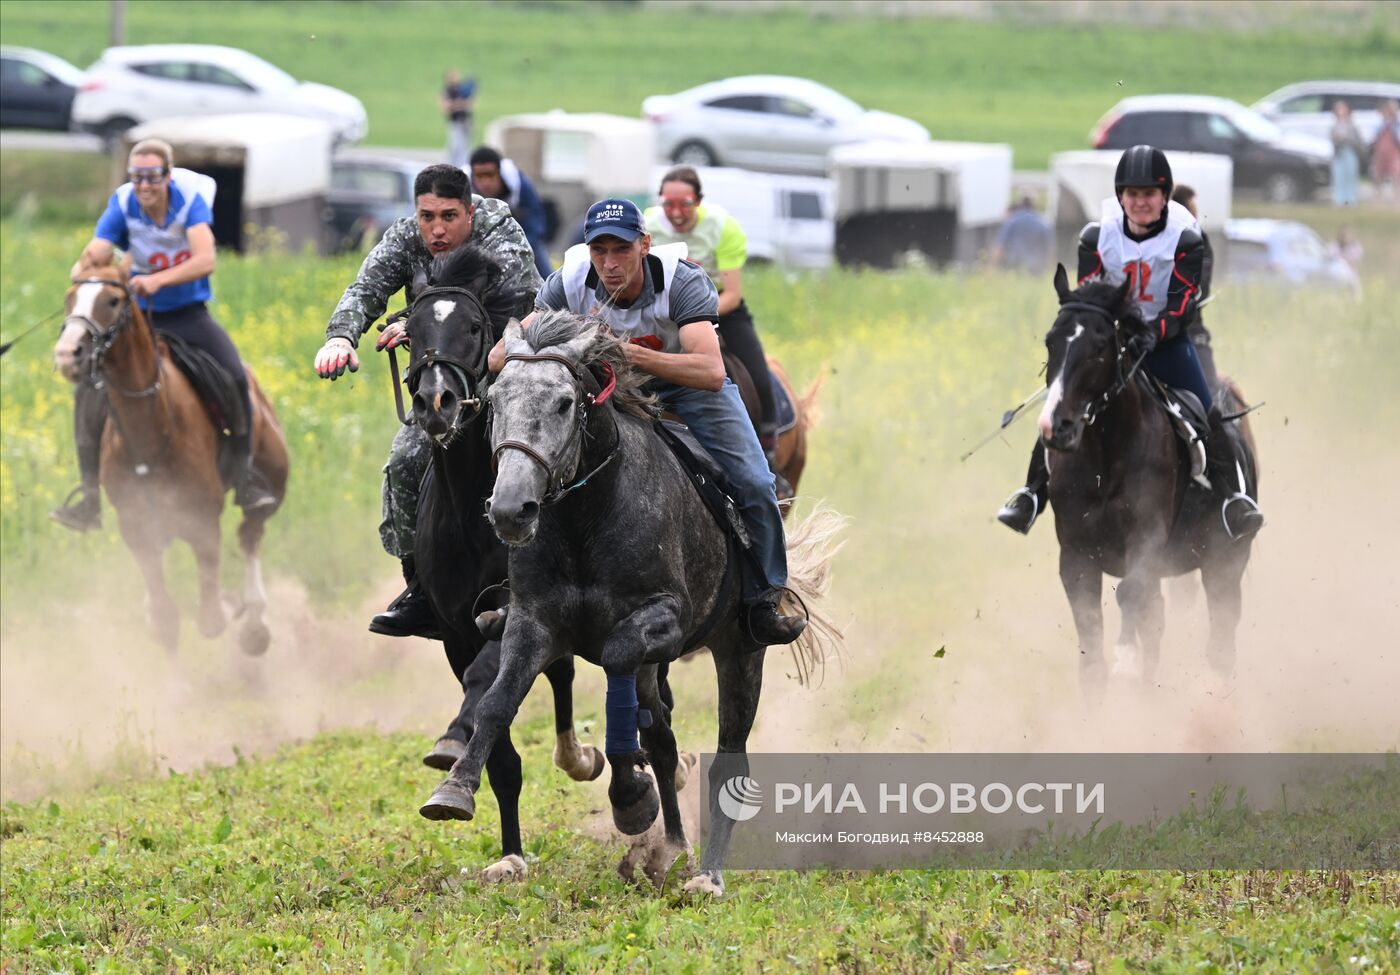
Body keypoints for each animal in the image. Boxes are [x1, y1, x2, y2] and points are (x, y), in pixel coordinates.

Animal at [53, 259, 289, 655]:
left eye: (113, 300)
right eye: (71, 298)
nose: (68, 354)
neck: (150, 435)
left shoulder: (203, 522)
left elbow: (210, 617)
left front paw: (230, 608)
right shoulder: (137, 532)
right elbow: (166, 621)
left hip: (273, 480)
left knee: (250, 533)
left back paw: (254, 623)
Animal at [400, 239, 607, 879]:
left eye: (471, 327)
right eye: (410, 330)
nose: (436, 402)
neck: (473, 512)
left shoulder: (516, 610)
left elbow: (484, 684)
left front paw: (452, 738)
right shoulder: (453, 629)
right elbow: (502, 756)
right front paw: (508, 851)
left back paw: (579, 756)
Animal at [417, 308, 840, 896]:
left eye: (564, 402)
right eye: (495, 400)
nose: (509, 509)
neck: (586, 516)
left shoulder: (664, 619)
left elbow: (618, 661)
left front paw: (630, 798)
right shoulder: (531, 622)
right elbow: (497, 702)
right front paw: (454, 791)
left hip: (739, 649)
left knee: (727, 761)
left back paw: (707, 874)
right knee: (660, 737)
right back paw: (675, 847)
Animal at [1041, 264, 1260, 692]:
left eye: (1100, 346)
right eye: (1050, 343)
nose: (1057, 427)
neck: (1105, 457)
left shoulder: (1147, 537)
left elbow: (1132, 591)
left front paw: (1126, 660)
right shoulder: (1075, 553)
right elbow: (1092, 643)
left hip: (1226, 559)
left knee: (1221, 639)